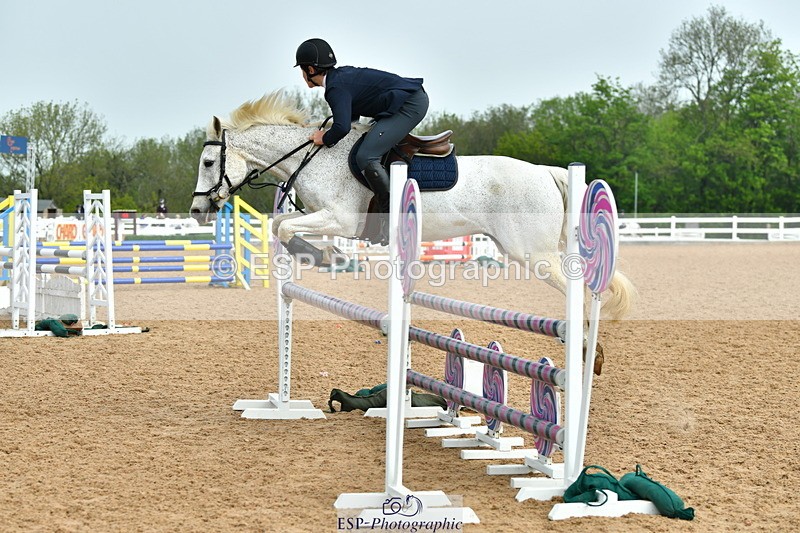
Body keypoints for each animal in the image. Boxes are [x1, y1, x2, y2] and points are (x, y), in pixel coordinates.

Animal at [190, 92, 636, 371]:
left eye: (210, 162)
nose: (197, 211)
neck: (317, 156)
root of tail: (546, 172)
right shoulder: (322, 217)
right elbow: (279, 224)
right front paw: (325, 256)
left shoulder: (341, 219)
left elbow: (283, 227)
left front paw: (330, 256)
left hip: (533, 254)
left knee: (579, 288)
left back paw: (586, 348)